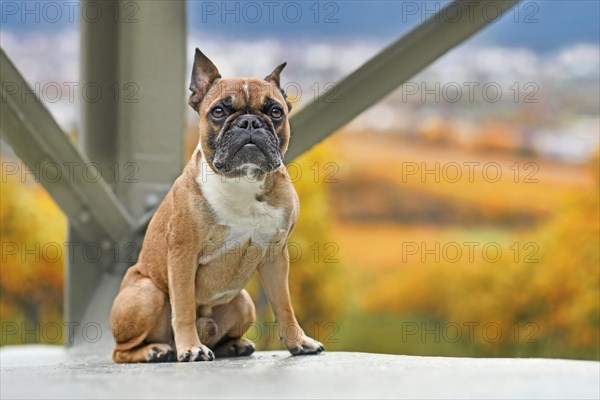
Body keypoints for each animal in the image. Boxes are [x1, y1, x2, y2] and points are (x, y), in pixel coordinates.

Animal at [108, 47, 324, 362]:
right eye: (219, 112)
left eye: (275, 112)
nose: (249, 122)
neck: (243, 180)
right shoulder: (183, 253)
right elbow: (184, 306)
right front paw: (192, 348)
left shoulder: (275, 255)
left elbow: (284, 305)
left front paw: (299, 341)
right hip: (148, 293)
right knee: (121, 350)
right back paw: (156, 350)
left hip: (244, 302)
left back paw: (234, 345)